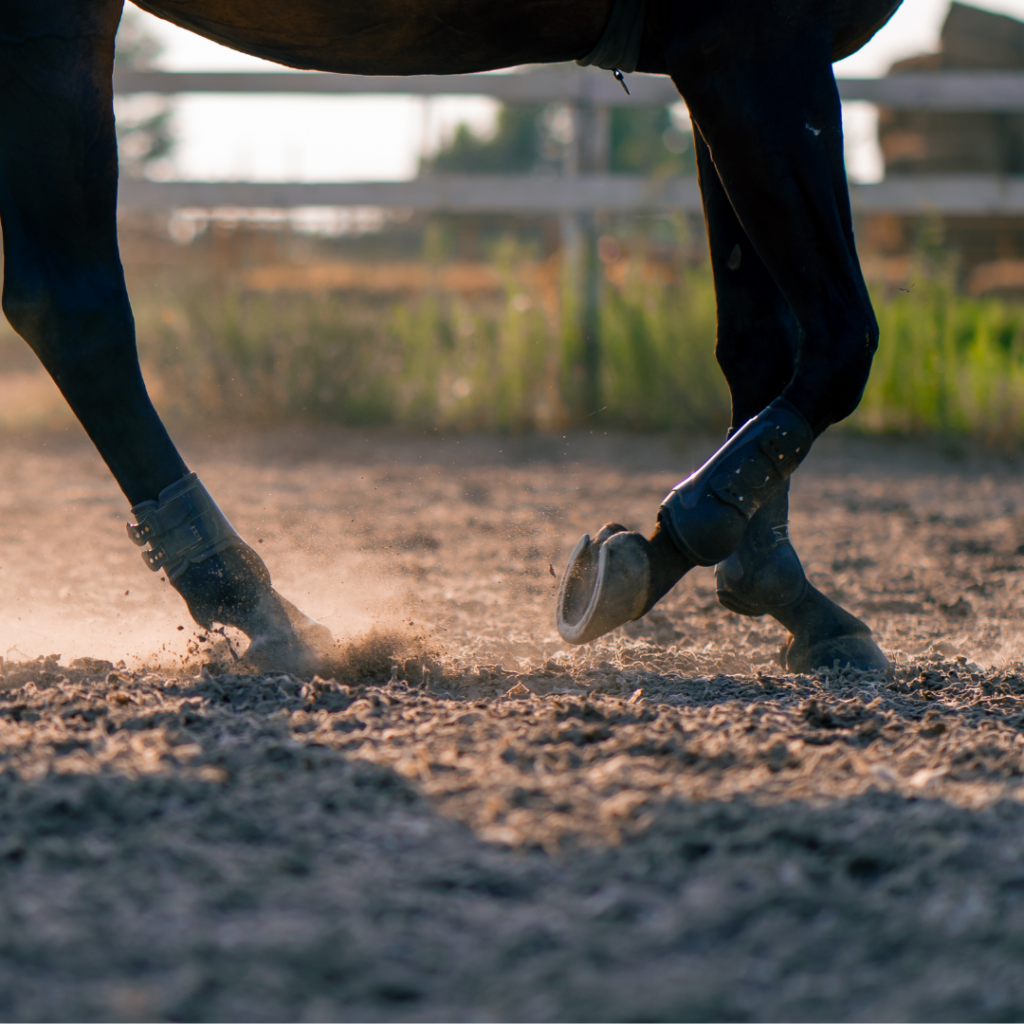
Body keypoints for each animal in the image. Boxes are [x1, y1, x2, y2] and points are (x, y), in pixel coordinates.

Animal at [0, 0, 901, 674]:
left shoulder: (720, 63)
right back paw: (245, 596)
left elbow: (761, 347)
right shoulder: (756, 42)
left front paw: (787, 595)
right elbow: (839, 342)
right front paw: (658, 551)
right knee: (73, 303)